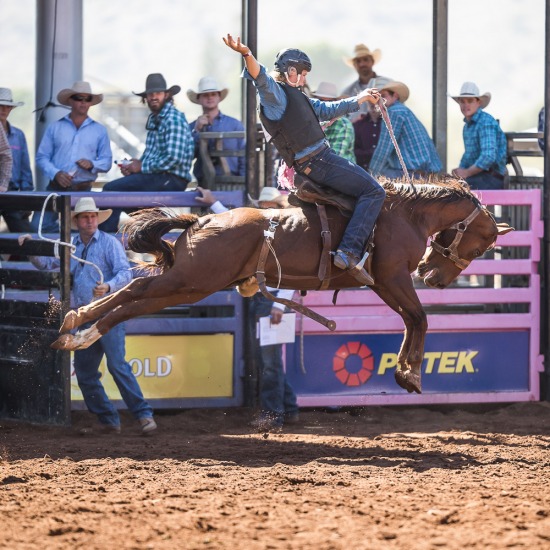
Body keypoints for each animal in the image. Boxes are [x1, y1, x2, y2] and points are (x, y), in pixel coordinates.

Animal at [51, 182, 512, 396]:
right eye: (480, 245)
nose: (433, 277)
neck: (403, 214)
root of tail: (203, 220)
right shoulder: (393, 277)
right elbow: (420, 317)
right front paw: (410, 374)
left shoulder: (384, 283)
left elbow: (411, 320)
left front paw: (405, 371)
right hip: (192, 280)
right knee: (133, 294)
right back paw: (79, 326)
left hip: (190, 284)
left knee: (132, 297)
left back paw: (75, 326)